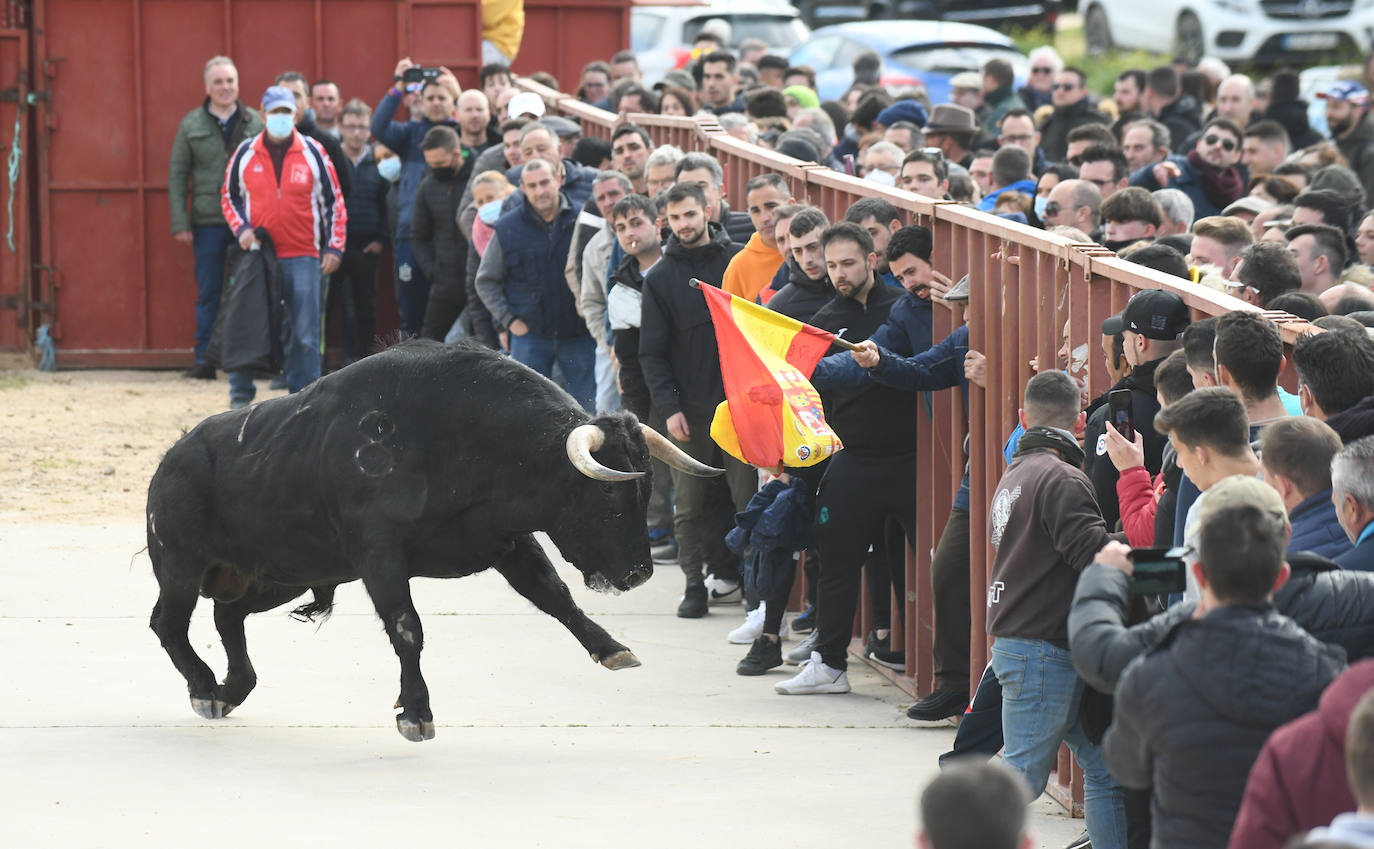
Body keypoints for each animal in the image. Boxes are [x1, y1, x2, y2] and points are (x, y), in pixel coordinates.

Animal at [144, 340, 719, 736]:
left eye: (647, 491)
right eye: (608, 495)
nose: (639, 574)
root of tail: (171, 459)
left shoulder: (508, 541)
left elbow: (555, 595)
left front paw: (613, 649)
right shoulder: (378, 553)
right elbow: (407, 627)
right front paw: (416, 712)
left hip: (280, 574)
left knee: (228, 616)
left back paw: (229, 690)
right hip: (182, 566)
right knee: (168, 623)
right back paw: (204, 688)